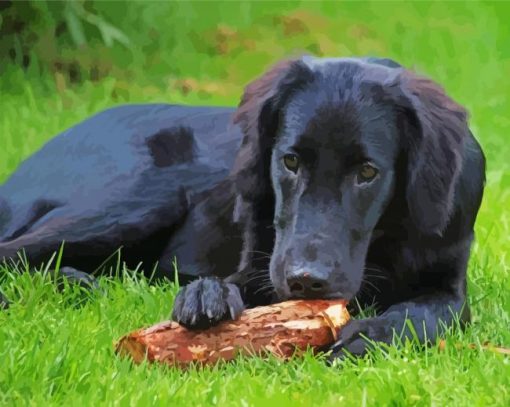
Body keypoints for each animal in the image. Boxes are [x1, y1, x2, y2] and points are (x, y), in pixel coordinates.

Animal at [0, 57, 486, 356]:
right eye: (289, 161)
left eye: (367, 172)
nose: (306, 281)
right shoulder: (259, 264)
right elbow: (233, 282)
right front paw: (206, 294)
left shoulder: (449, 285)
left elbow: (423, 314)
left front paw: (373, 332)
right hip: (140, 196)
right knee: (16, 251)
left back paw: (77, 283)